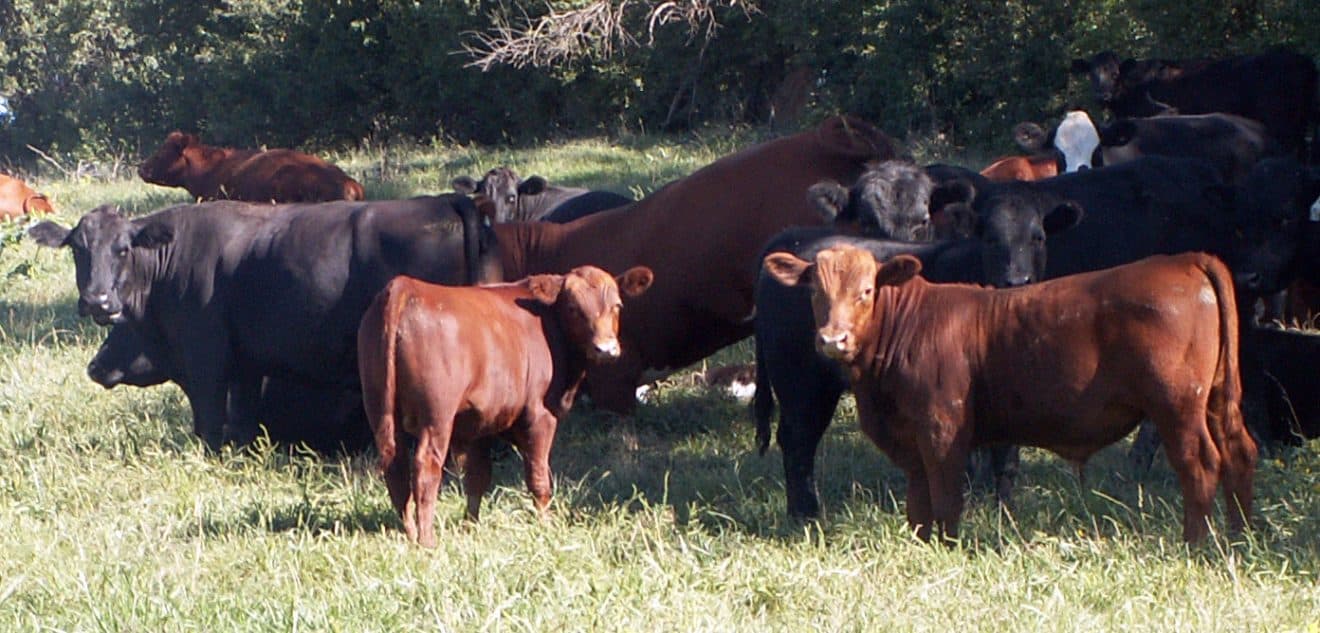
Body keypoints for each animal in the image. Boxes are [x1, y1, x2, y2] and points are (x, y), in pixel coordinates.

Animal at [28, 195, 496, 450]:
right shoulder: (248, 367)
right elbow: (244, 425)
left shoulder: (207, 365)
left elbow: (209, 426)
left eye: (123, 248)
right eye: (77, 249)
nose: (98, 301)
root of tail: (441, 200)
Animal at [357, 265, 654, 546]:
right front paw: (545, 526)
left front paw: (471, 526)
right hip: (437, 416)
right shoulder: (540, 415)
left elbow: (477, 477)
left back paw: (409, 532)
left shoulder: (480, 421)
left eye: (617, 306)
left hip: (380, 408)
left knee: (394, 465)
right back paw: (427, 540)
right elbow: (538, 477)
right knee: (425, 468)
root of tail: (404, 287)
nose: (605, 349)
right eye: (573, 308)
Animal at [753, 194, 1083, 518]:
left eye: (1038, 237)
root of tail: (791, 238)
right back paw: (805, 514)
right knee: (798, 439)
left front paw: (1005, 511)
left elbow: (1005, 456)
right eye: (990, 239)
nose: (1016, 280)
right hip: (801, 379)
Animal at [764, 246, 1256, 542]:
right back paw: (1240, 536)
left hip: (1177, 407)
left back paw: (1194, 545)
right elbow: (918, 504)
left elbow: (946, 498)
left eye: (866, 291)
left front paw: (946, 549)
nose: (833, 339)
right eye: (815, 293)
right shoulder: (912, 442)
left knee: (1200, 464)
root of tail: (1182, 259)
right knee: (1239, 452)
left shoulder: (943, 428)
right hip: (1215, 400)